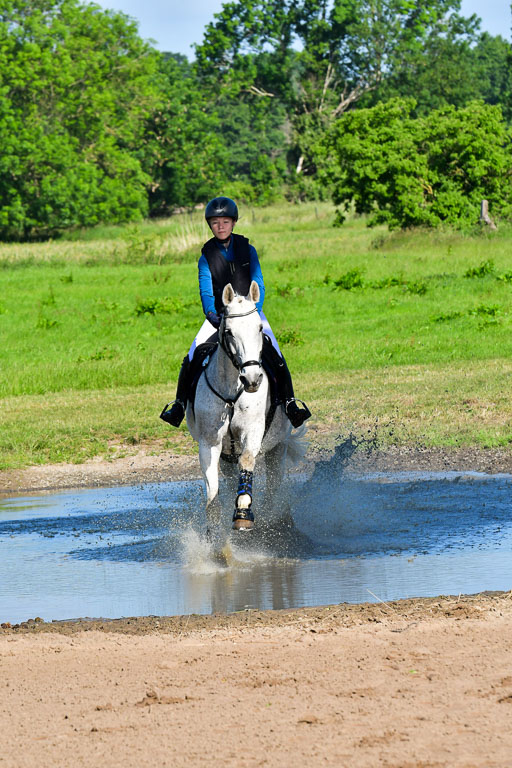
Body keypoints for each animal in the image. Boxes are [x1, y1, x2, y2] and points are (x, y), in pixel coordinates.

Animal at [186, 280, 305, 544]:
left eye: (259, 328)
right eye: (229, 331)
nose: (252, 379)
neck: (232, 391)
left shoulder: (253, 432)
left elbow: (248, 461)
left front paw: (243, 514)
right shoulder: (210, 443)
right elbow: (212, 490)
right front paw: (215, 538)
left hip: (278, 448)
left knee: (273, 486)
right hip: (227, 458)